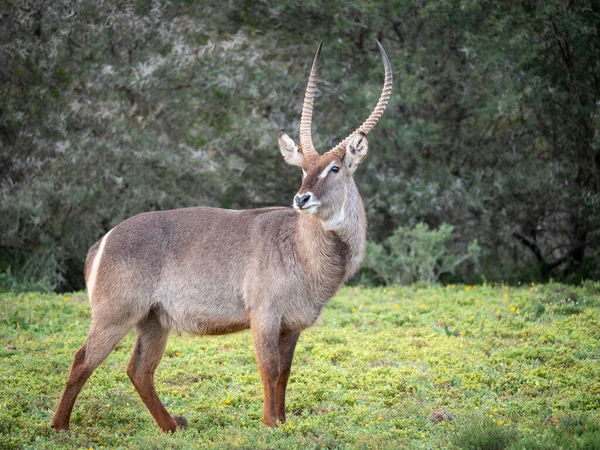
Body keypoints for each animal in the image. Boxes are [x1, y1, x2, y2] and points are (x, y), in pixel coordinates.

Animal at [52, 40, 394, 430]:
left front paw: (284, 422)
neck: (301, 249)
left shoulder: (292, 326)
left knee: (139, 370)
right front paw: (270, 425)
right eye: (303, 169)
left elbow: (285, 373)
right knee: (83, 360)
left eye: (334, 168)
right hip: (115, 313)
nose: (301, 198)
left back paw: (171, 427)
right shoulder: (264, 315)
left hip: (153, 320)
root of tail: (100, 243)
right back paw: (60, 427)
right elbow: (268, 369)